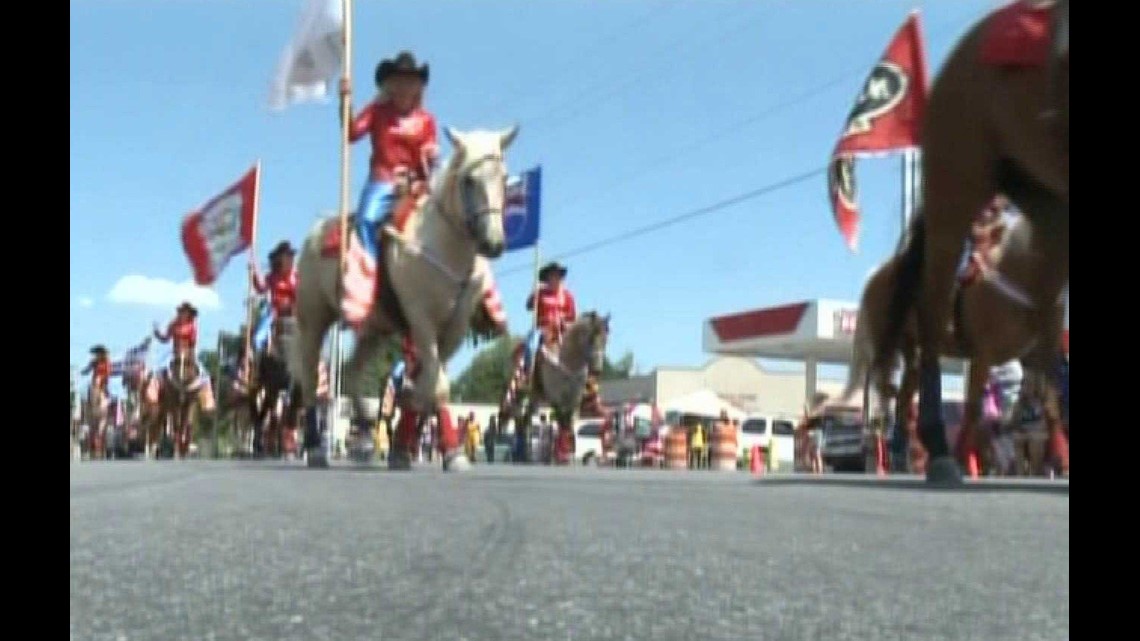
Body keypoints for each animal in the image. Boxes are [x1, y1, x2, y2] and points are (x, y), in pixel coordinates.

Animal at [298, 126, 522, 469]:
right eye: (468, 180)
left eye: (504, 176)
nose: (493, 243)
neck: (444, 245)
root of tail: (316, 232)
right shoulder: (422, 321)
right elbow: (437, 386)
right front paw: (454, 454)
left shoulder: (454, 328)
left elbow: (424, 387)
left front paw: (403, 449)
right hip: (313, 319)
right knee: (311, 382)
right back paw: (316, 448)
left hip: (373, 331)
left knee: (352, 371)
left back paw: (365, 433)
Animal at [501, 312, 611, 460]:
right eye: (591, 339)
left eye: (606, 339)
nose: (597, 370)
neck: (567, 362)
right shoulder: (556, 399)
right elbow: (562, 424)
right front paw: (561, 455)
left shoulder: (574, 400)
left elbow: (569, 426)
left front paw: (569, 454)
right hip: (519, 393)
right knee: (519, 419)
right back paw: (521, 453)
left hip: (535, 397)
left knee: (526, 419)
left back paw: (526, 453)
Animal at [839, 212, 1067, 476]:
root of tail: (877, 274)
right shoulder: (982, 356)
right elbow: (973, 409)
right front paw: (960, 459)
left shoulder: (1038, 358)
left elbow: (1051, 406)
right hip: (891, 345)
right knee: (888, 395)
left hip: (912, 352)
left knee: (902, 398)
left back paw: (902, 457)